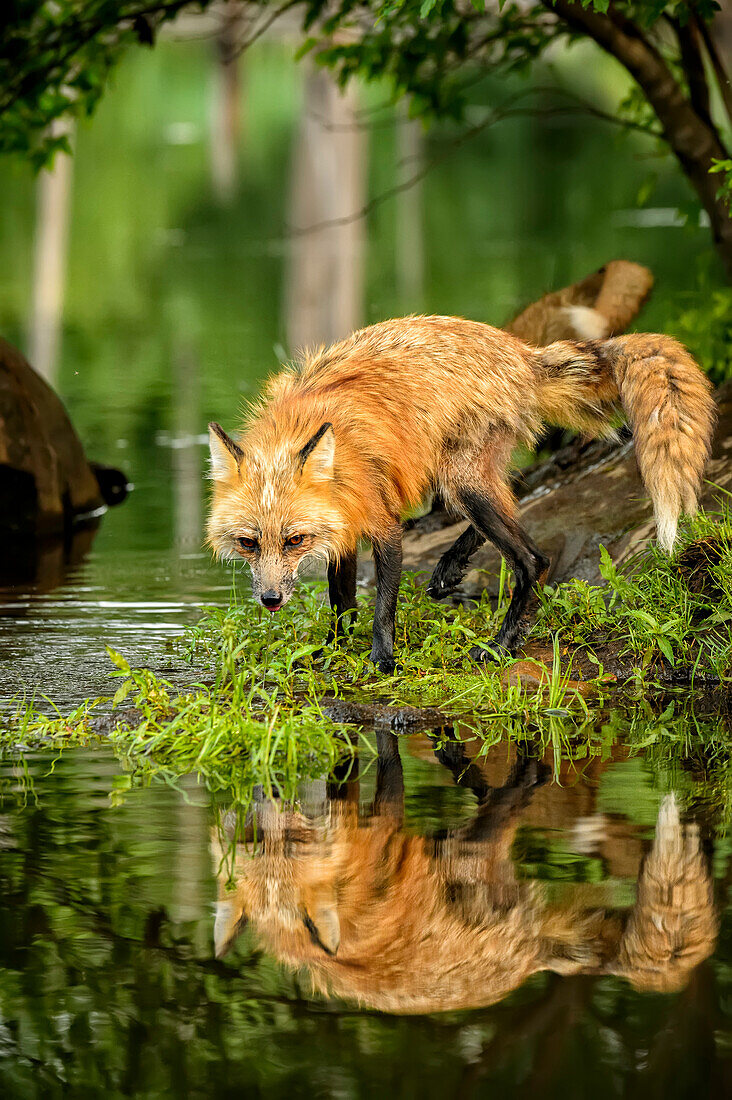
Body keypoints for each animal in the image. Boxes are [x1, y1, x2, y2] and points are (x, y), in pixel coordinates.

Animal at [206, 314, 713, 664]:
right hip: (463, 478)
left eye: (294, 540)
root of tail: (522, 354)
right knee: (513, 504)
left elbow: (382, 605)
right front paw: (333, 651)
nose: (271, 600)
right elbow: (342, 603)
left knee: (533, 559)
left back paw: (500, 646)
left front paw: (382, 659)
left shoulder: (381, 520)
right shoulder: (342, 528)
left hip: (461, 480)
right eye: (248, 543)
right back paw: (451, 567)